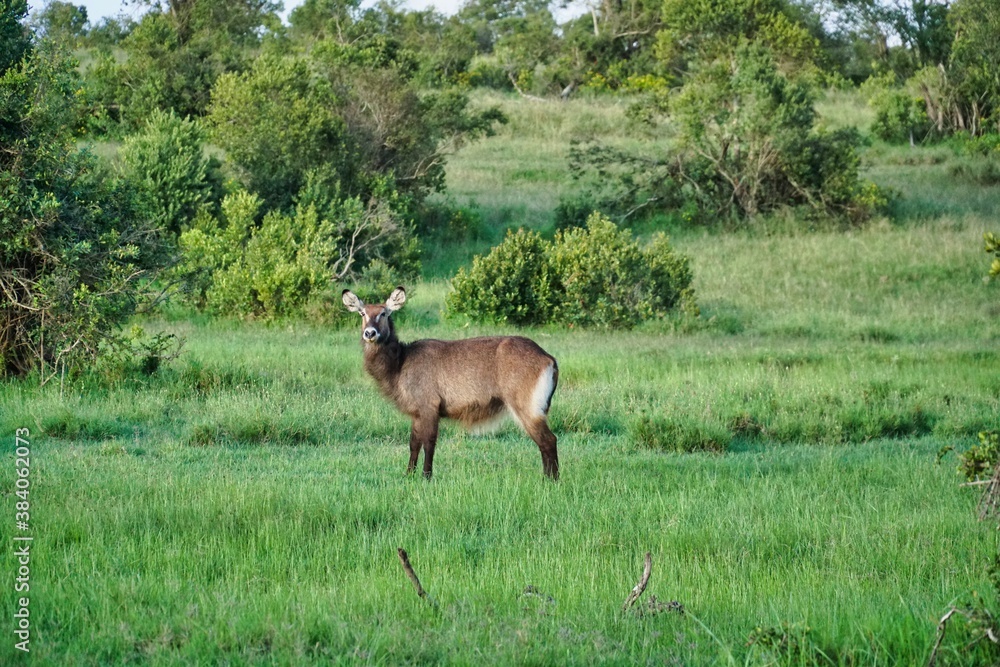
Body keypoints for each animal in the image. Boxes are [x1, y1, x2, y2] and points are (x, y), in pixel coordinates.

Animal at [342, 286, 559, 480]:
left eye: (384, 313)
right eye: (362, 313)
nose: (370, 333)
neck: (400, 362)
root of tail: (548, 357)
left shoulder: (430, 407)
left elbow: (429, 443)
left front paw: (426, 477)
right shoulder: (417, 413)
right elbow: (413, 443)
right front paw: (408, 474)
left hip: (527, 408)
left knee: (548, 441)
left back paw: (551, 481)